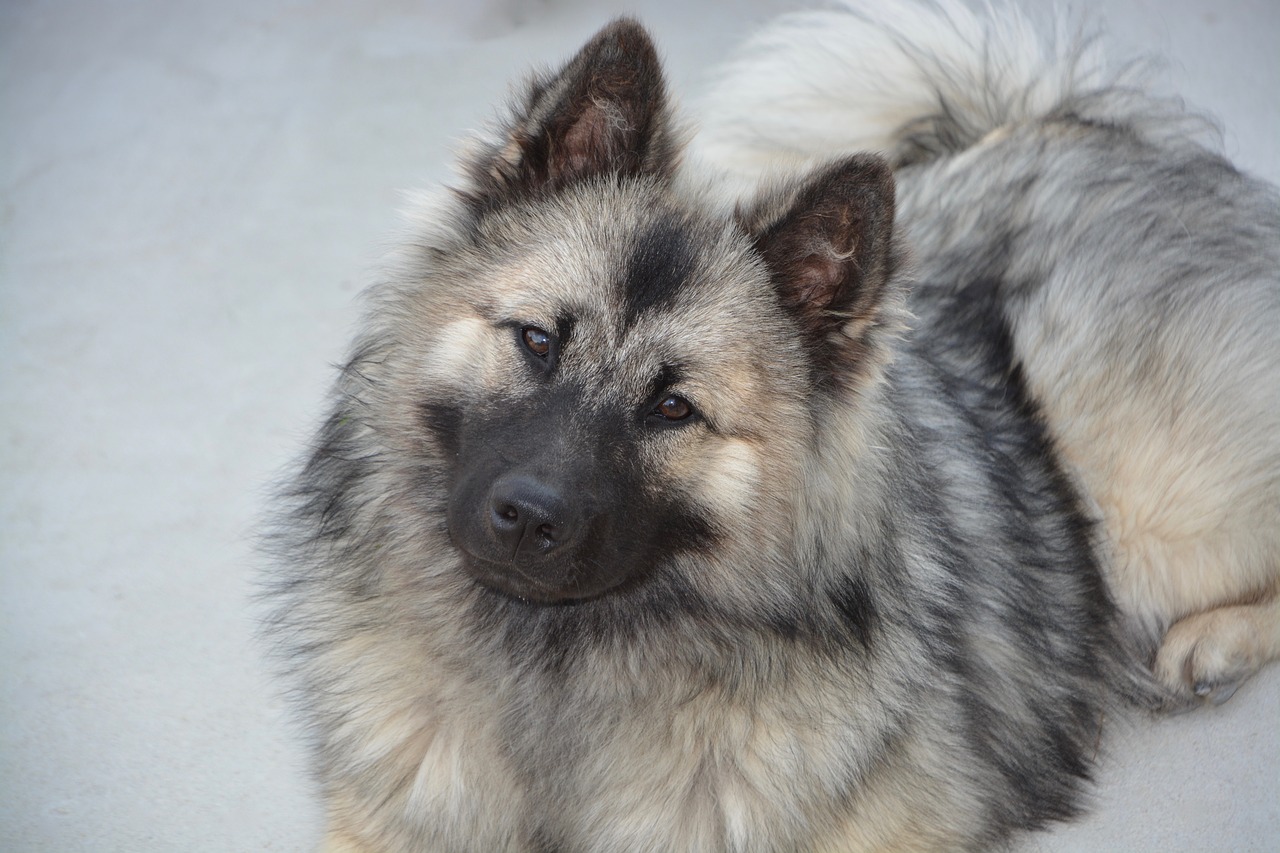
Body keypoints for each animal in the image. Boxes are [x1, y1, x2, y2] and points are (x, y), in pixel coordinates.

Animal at [262, 3, 1280, 845]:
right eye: (538, 340)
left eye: (674, 408)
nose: (528, 515)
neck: (553, 666)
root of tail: (1076, 127)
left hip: (1143, 500)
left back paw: (1210, 644)